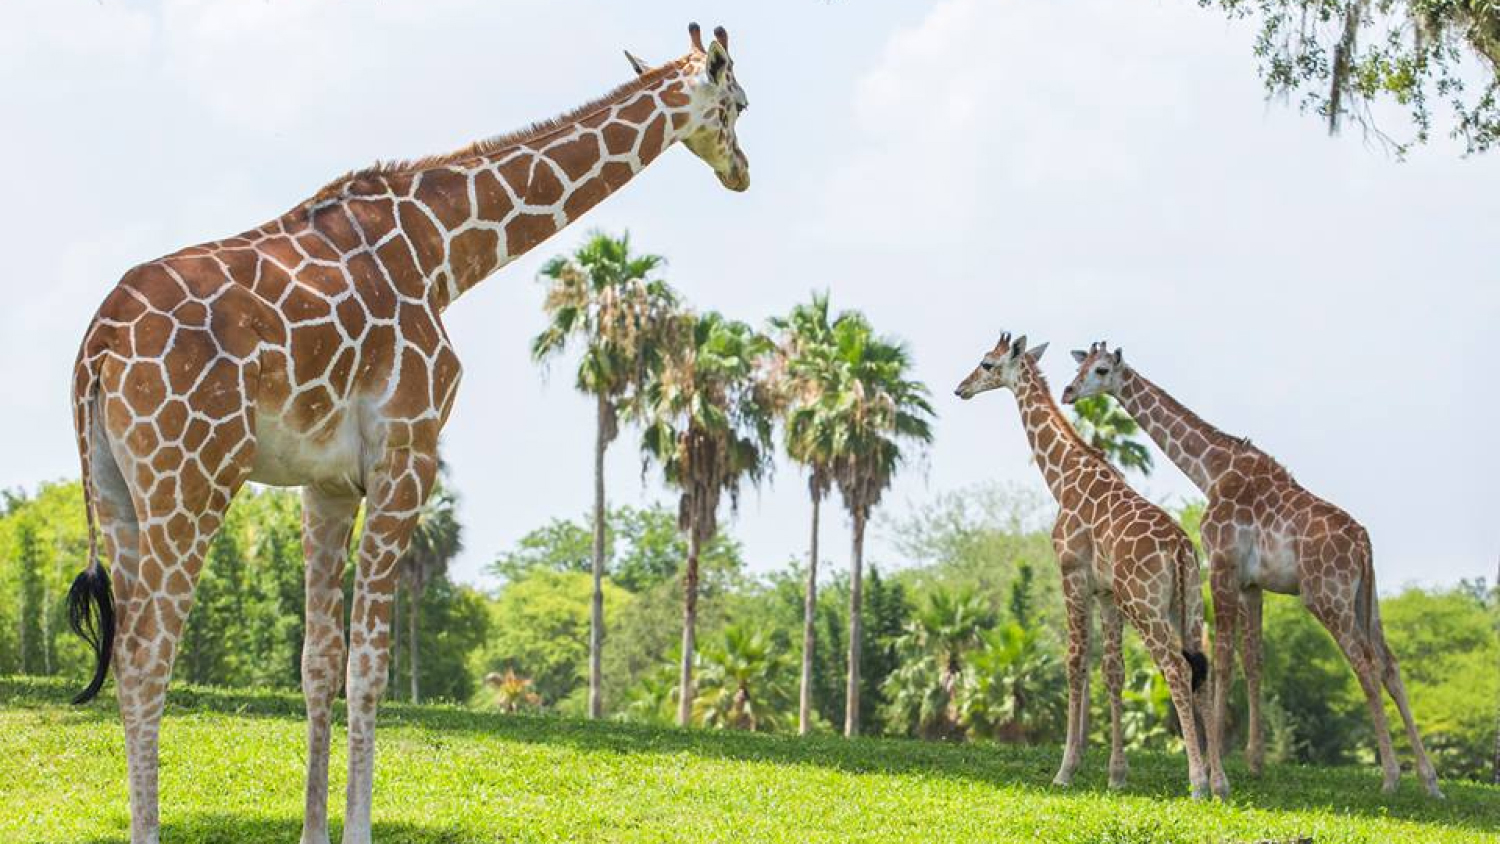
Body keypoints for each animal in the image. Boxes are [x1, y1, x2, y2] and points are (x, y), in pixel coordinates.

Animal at [64, 23, 750, 844]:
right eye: (740, 104)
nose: (743, 172)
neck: (444, 252)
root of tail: (98, 346)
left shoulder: (324, 484)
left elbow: (319, 661)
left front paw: (315, 831)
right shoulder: (408, 454)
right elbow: (370, 663)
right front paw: (358, 828)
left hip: (116, 492)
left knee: (131, 654)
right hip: (191, 478)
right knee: (144, 657)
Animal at [955, 333, 1222, 800]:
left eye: (986, 363)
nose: (960, 388)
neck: (1064, 476)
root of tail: (1179, 548)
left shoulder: (1073, 576)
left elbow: (1075, 663)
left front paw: (1066, 769)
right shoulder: (1107, 593)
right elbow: (1113, 672)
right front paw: (1116, 774)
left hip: (1145, 606)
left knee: (1177, 668)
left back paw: (1198, 782)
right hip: (1187, 606)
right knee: (1203, 670)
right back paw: (1220, 782)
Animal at [1062, 342, 1444, 799]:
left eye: (1101, 370)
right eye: (1080, 364)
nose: (1067, 391)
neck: (1211, 470)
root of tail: (1363, 544)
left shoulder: (1221, 566)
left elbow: (1222, 659)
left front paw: (1217, 767)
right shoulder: (1252, 585)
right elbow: (1254, 659)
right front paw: (1254, 761)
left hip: (1326, 598)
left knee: (1365, 666)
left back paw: (1390, 777)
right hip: (1365, 601)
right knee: (1389, 664)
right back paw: (1430, 780)